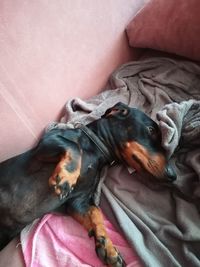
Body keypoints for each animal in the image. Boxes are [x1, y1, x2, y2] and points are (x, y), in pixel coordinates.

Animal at [0, 103, 175, 267]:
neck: (97, 150)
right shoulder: (47, 142)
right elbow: (74, 146)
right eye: (151, 130)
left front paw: (108, 249)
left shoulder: (77, 201)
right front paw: (65, 179)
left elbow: (96, 213)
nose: (173, 175)